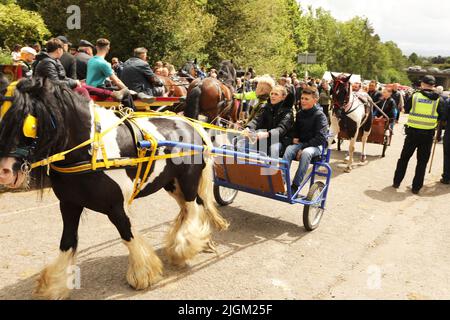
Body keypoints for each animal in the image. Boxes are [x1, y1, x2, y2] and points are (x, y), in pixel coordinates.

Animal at [0, 77, 227, 300]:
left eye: (29, 123)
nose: (5, 171)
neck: (91, 150)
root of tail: (190, 123)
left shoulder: (116, 206)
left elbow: (127, 233)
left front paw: (143, 274)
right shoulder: (69, 204)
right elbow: (67, 241)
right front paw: (54, 286)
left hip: (188, 181)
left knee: (194, 207)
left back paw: (184, 247)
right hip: (171, 183)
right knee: (190, 208)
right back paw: (196, 241)